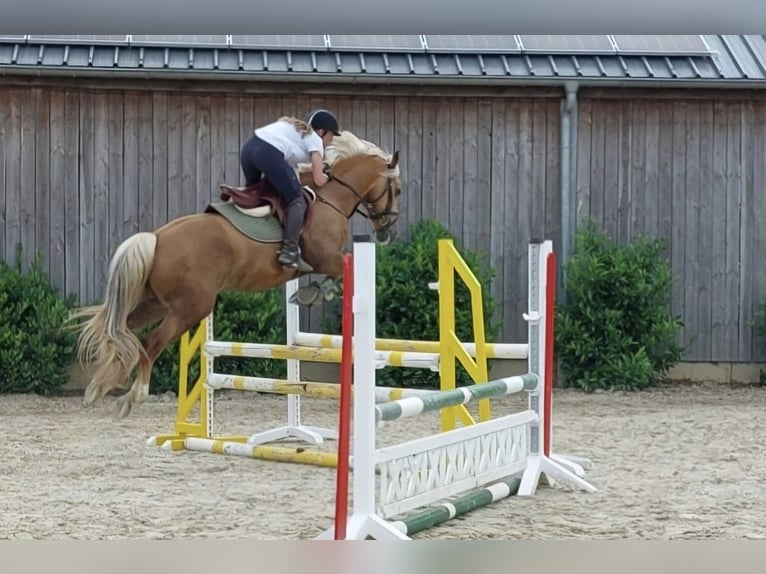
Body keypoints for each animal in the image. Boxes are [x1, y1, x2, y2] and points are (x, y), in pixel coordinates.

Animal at [69, 132, 404, 418]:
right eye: (397, 190)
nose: (388, 231)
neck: (330, 196)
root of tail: (156, 238)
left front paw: (307, 293)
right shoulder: (326, 257)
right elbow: (341, 269)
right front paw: (313, 293)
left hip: (156, 304)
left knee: (122, 329)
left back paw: (97, 387)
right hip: (191, 308)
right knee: (149, 343)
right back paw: (134, 396)